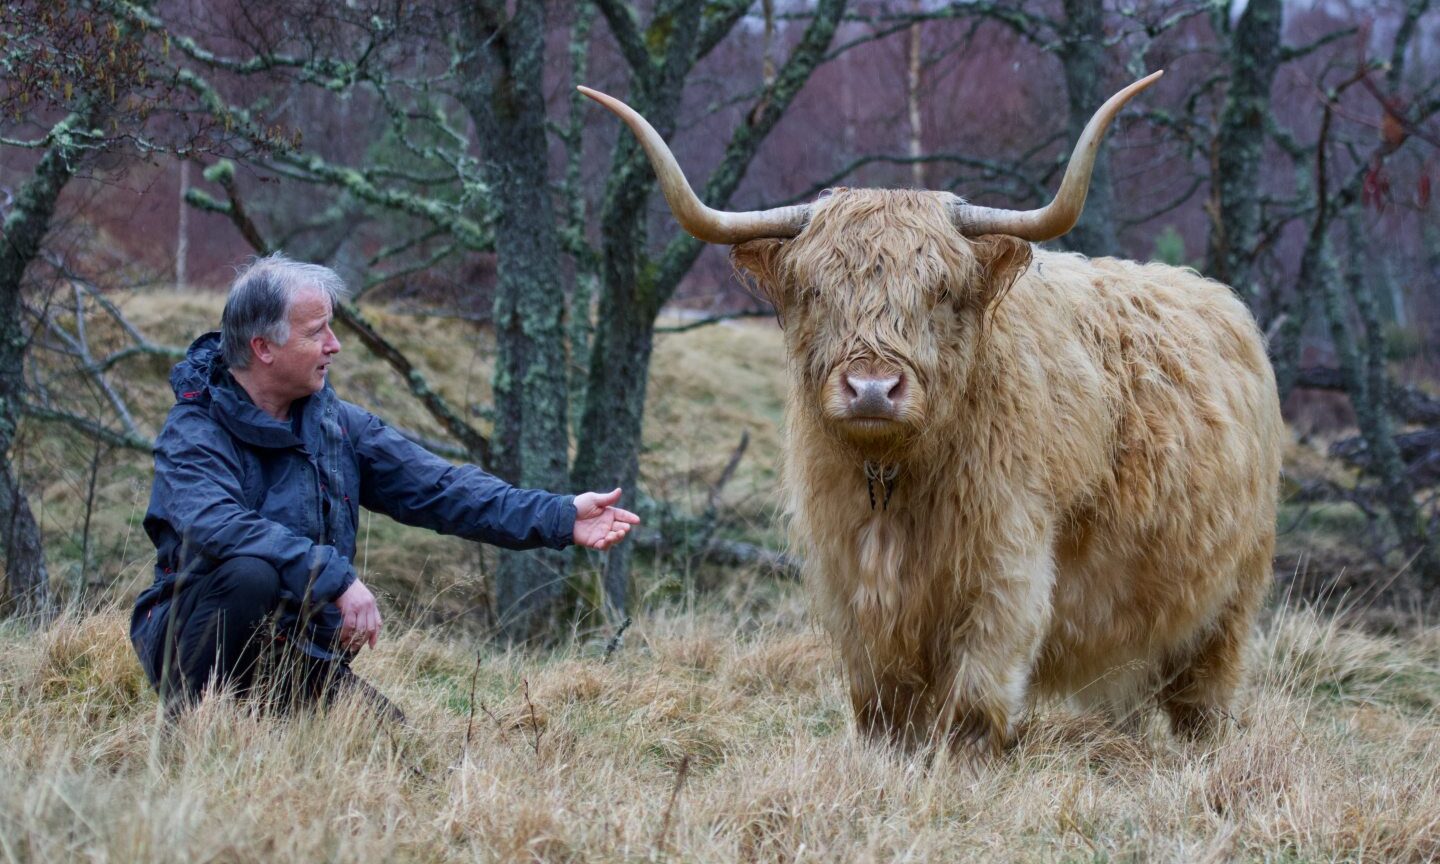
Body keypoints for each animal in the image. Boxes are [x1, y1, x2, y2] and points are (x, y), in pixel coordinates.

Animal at [581, 72, 1283, 761]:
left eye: (941, 291)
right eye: (814, 291)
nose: (871, 388)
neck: (897, 484)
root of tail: (1215, 294)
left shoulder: (1007, 571)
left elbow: (975, 701)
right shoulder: (851, 584)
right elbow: (881, 708)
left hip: (1230, 602)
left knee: (1202, 702)